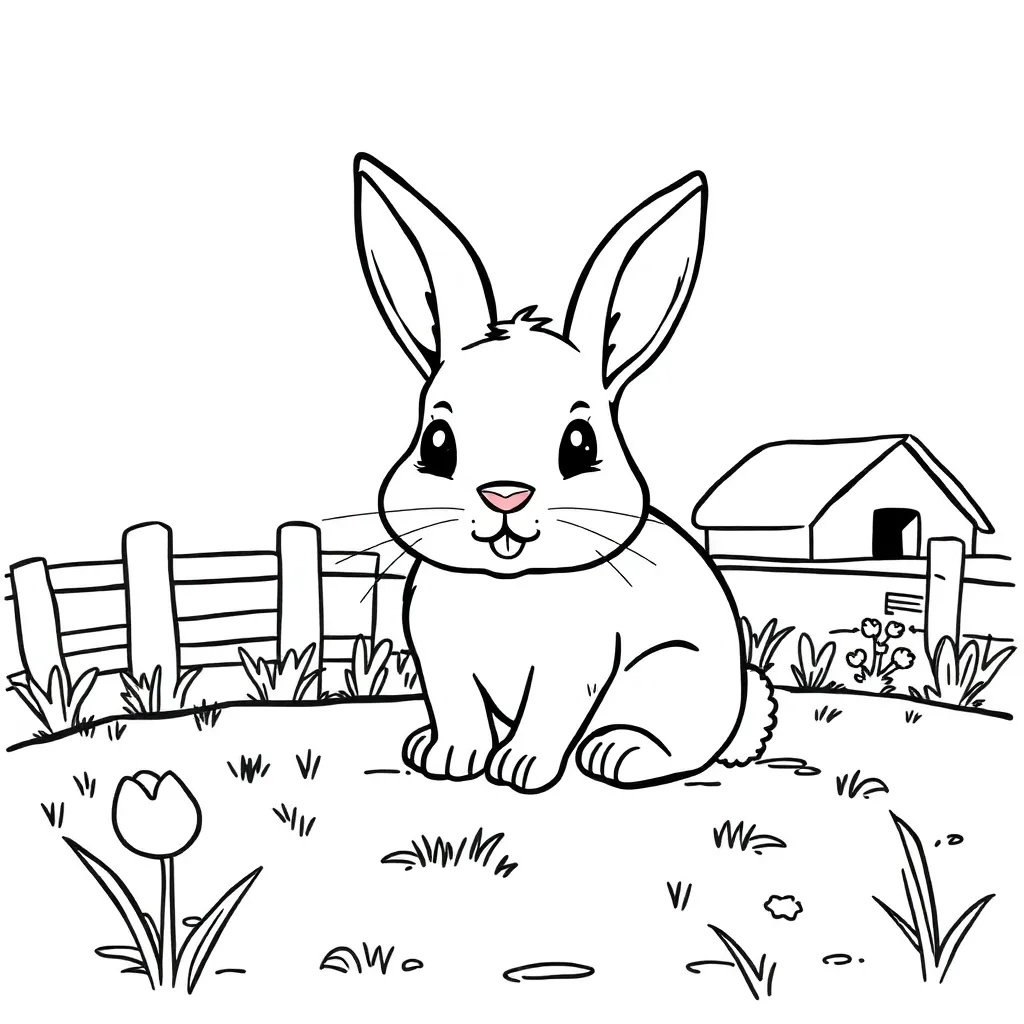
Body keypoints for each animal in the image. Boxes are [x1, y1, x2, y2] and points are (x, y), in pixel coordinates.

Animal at [353, 153, 776, 793]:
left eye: (579, 443)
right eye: (438, 442)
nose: (504, 496)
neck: (508, 584)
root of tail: (741, 707)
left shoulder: (576, 664)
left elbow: (548, 716)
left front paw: (520, 769)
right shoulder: (442, 661)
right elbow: (457, 712)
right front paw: (447, 759)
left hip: (672, 673)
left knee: (681, 746)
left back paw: (620, 753)